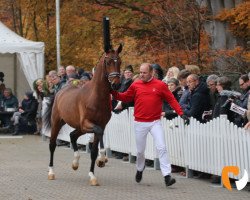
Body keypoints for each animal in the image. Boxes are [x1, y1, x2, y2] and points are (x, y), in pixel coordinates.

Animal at [44, 44, 124, 186]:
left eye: (119, 62)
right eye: (108, 62)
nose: (116, 84)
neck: (96, 97)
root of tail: (60, 91)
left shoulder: (100, 124)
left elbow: (93, 150)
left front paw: (93, 175)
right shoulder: (89, 123)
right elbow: (98, 133)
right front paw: (102, 159)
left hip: (80, 127)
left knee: (72, 135)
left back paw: (75, 163)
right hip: (58, 122)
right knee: (52, 144)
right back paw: (51, 172)